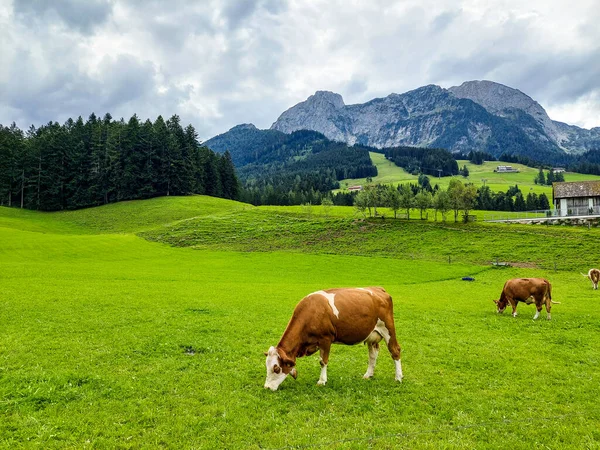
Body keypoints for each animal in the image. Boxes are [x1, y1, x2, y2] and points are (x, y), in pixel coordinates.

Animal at [264, 288, 400, 390]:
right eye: (266, 366)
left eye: (276, 368)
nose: (267, 387)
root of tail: (378, 289)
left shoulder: (325, 339)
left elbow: (323, 361)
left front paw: (322, 381)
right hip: (372, 335)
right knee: (373, 354)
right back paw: (368, 375)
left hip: (388, 328)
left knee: (395, 350)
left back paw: (398, 378)